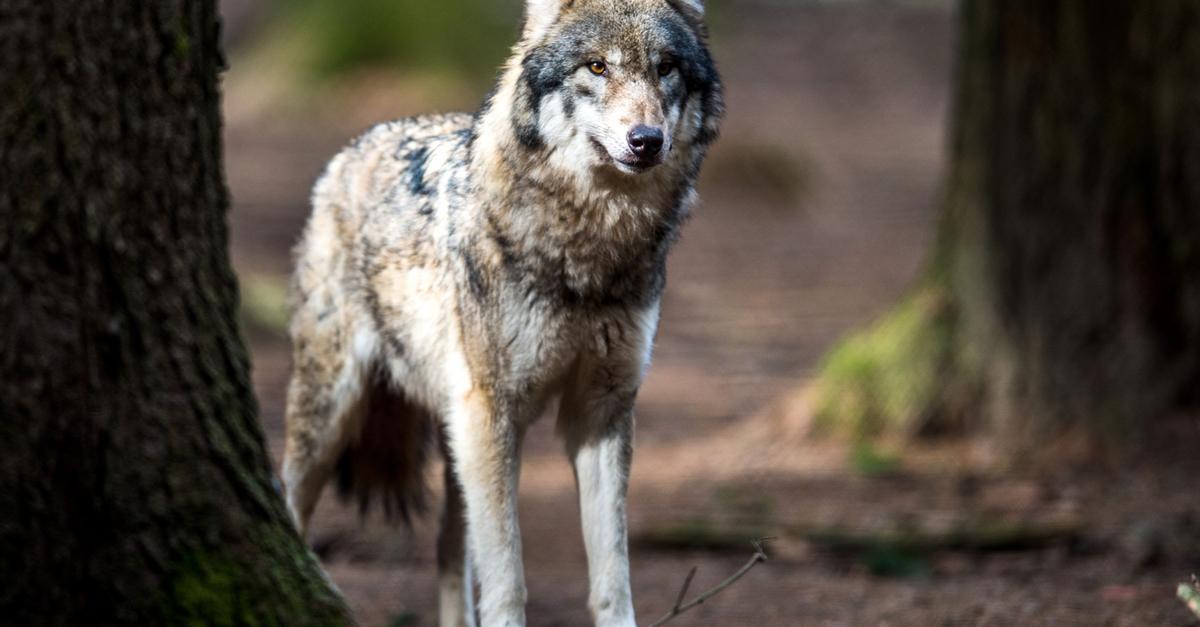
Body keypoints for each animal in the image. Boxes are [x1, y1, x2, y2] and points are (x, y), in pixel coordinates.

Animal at [280, 0, 723, 624]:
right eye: (597, 66)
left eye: (665, 68)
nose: (646, 140)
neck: (587, 252)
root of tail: (353, 149)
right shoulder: (494, 412)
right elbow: (507, 576)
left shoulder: (602, 410)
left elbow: (613, 576)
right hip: (335, 414)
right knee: (288, 503)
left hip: (455, 434)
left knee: (446, 549)